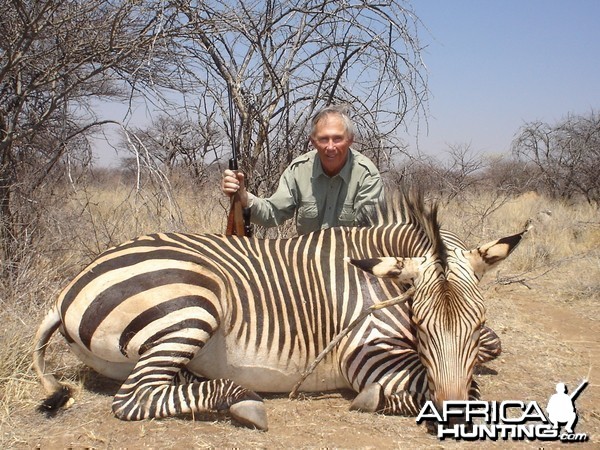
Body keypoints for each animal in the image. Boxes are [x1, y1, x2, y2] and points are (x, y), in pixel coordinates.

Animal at [34, 190, 528, 428]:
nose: (453, 418)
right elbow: (442, 389)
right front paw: (373, 399)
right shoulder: (366, 354)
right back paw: (243, 402)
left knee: (159, 383)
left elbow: (488, 354)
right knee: (134, 398)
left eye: (478, 323)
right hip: (193, 307)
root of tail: (67, 289)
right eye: (421, 326)